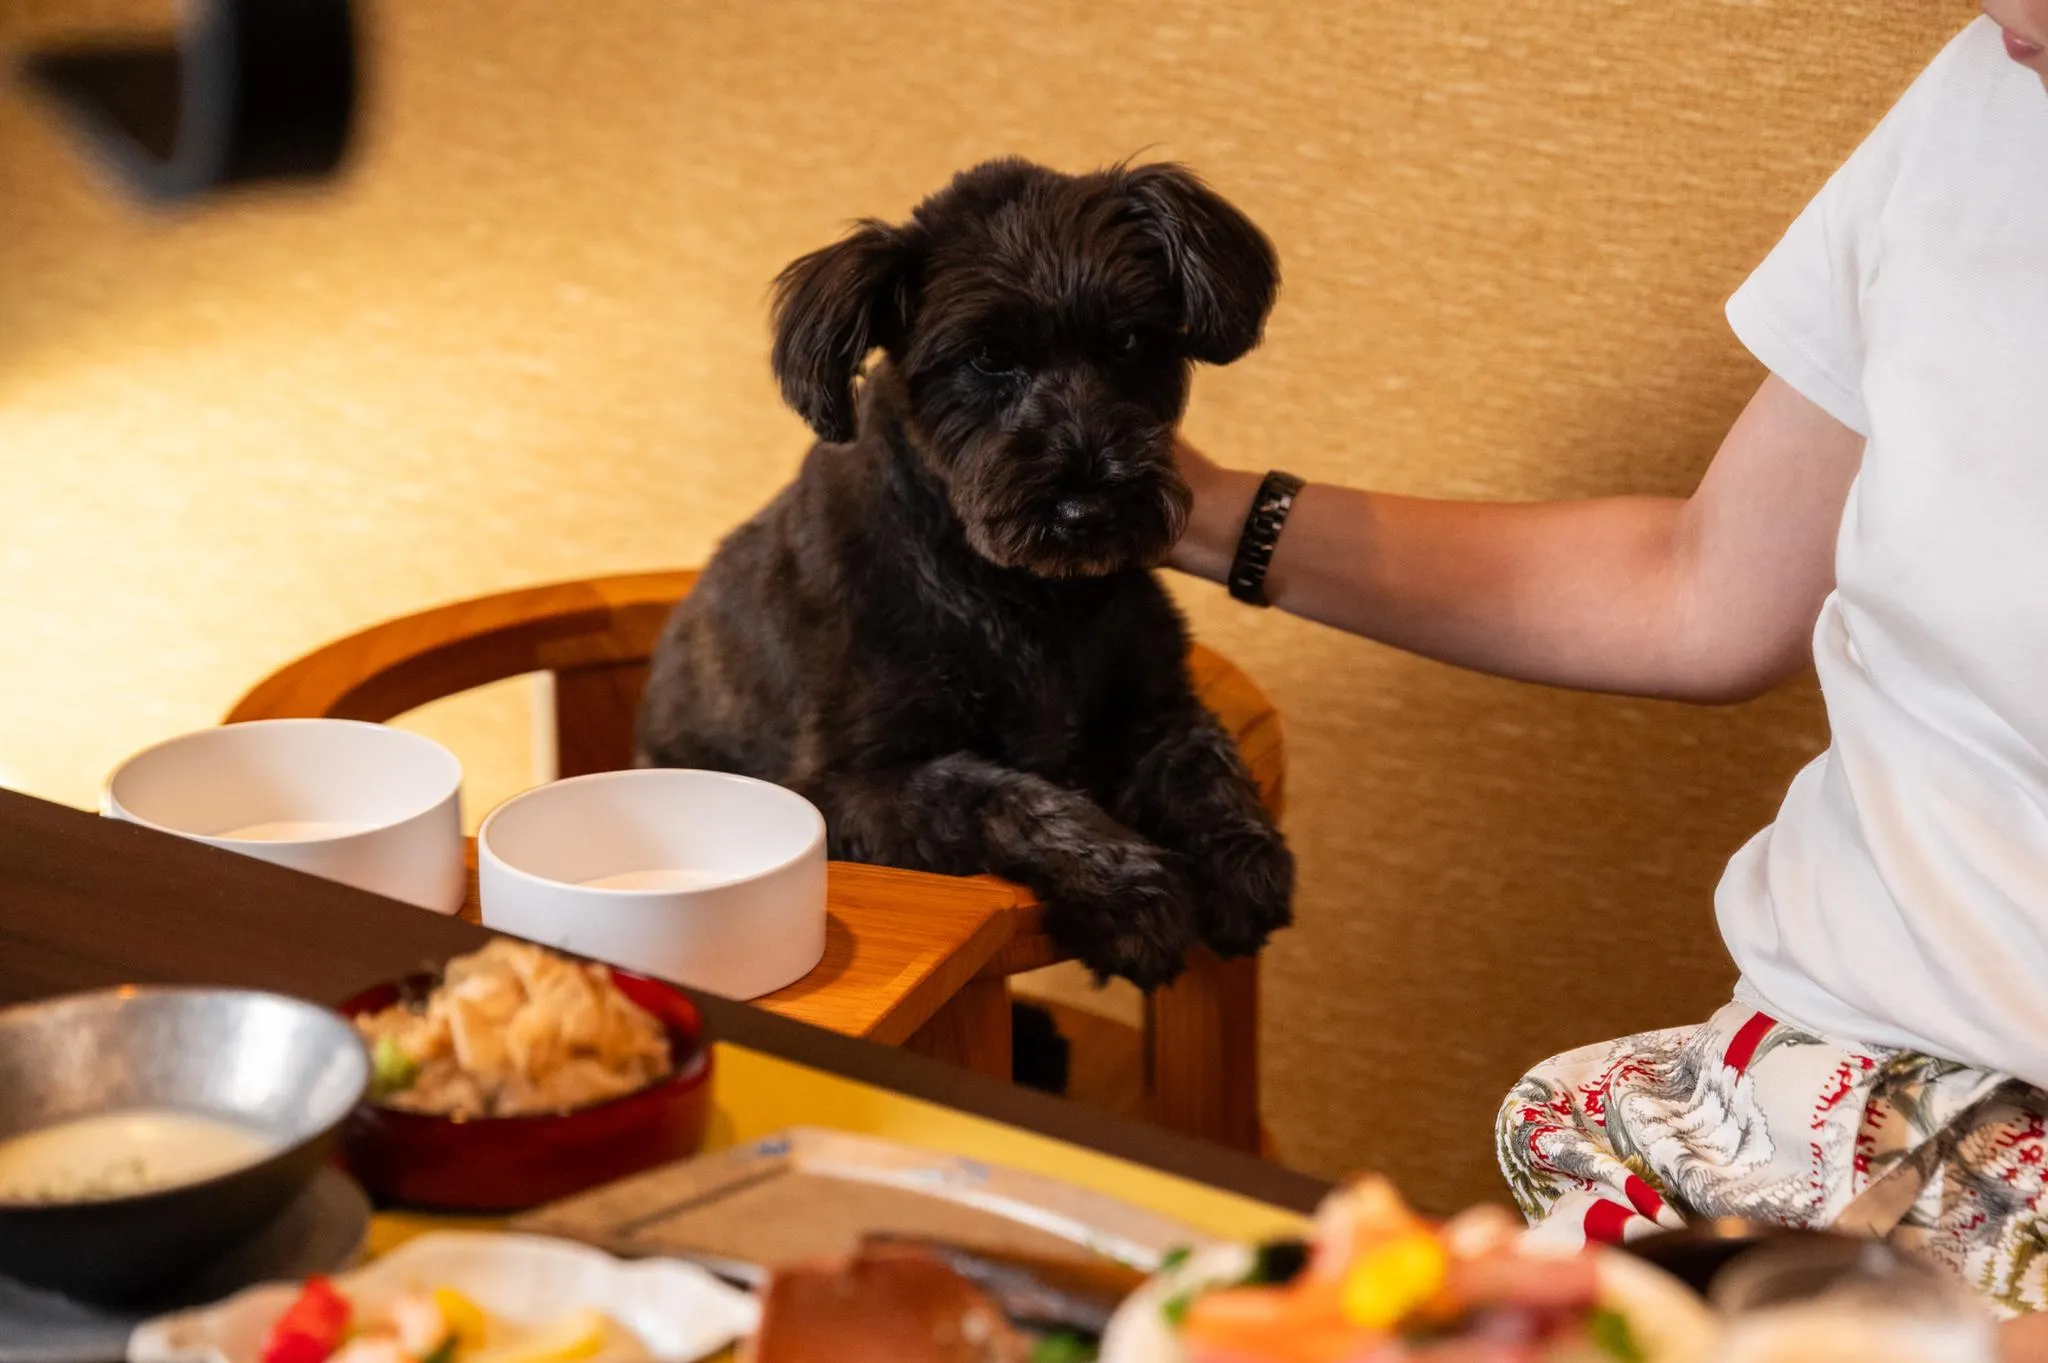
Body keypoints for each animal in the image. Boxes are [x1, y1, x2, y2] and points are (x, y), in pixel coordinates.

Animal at [634, 161, 1294, 986]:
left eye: (1130, 339)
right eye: (986, 357)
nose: (1087, 505)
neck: (1024, 592)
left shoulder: (1155, 705)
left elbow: (1202, 759)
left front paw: (1242, 856)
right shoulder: (844, 785)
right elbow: (995, 795)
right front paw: (1133, 892)